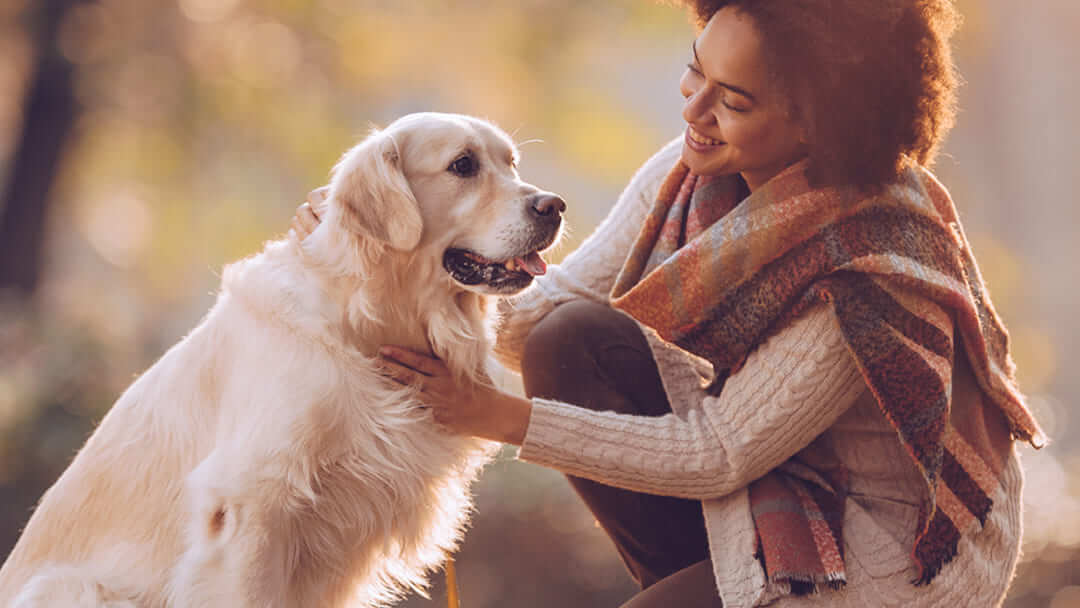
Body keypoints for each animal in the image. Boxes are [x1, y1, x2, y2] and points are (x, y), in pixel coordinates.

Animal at [0, 111, 570, 604]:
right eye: (463, 165)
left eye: (511, 163)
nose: (554, 205)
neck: (363, 324)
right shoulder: (252, 503)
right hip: (77, 588)